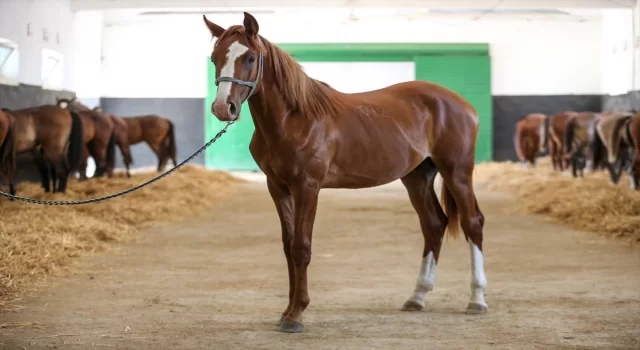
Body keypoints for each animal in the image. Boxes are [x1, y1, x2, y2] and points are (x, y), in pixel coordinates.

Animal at [202, 13, 488, 334]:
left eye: (250, 57)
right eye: (215, 58)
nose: (222, 108)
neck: (294, 119)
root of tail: (462, 104)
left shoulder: (307, 187)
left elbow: (301, 247)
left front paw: (296, 314)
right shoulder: (277, 188)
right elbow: (288, 246)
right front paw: (286, 310)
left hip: (457, 172)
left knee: (472, 223)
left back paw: (477, 300)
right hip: (417, 177)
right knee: (434, 225)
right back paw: (417, 297)